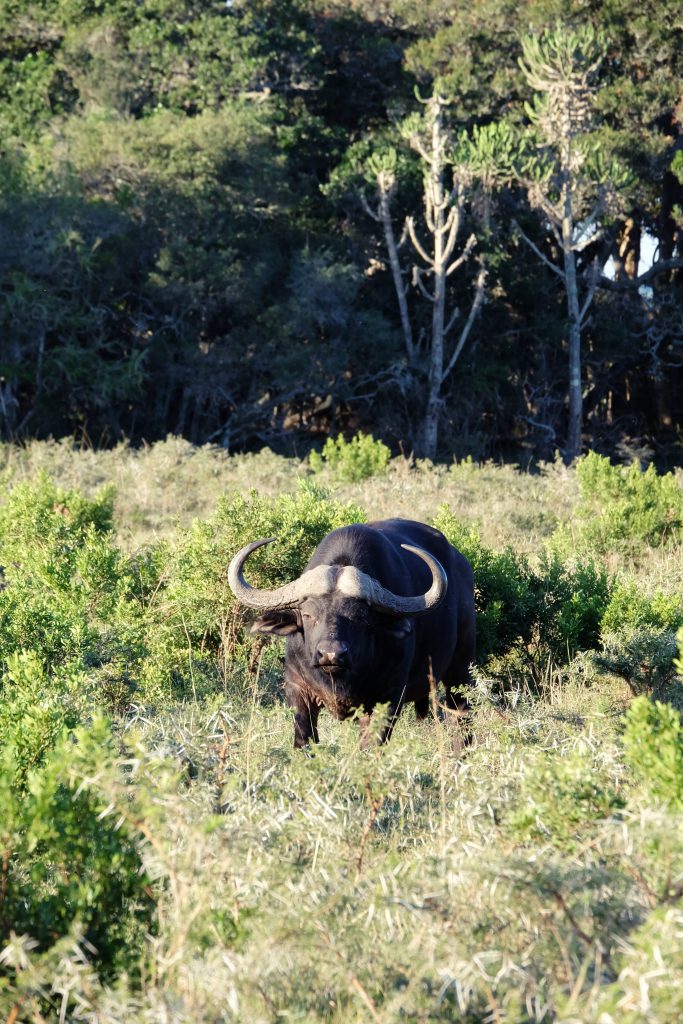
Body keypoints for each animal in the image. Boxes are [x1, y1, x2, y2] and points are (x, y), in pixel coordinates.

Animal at [229, 520, 475, 745]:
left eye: (360, 616)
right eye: (307, 614)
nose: (331, 654)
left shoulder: (388, 699)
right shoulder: (297, 687)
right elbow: (304, 738)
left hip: (461, 672)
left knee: (461, 719)